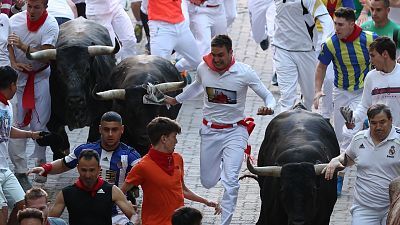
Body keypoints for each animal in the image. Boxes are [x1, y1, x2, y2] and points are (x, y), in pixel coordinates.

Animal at [27, 17, 184, 157]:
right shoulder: (52, 120)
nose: (75, 99)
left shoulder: (99, 119)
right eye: (59, 71)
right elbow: (60, 145)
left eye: (87, 69)